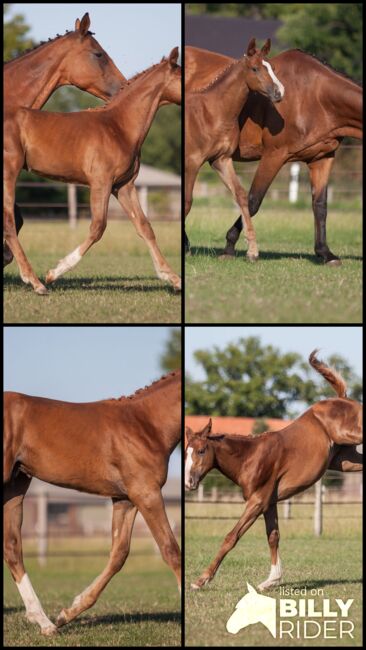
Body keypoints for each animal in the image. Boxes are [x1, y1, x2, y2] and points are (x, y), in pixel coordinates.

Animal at [4, 48, 182, 294]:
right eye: (183, 76)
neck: (118, 126)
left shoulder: (123, 186)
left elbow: (144, 227)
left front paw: (173, 278)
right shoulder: (101, 182)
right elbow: (98, 227)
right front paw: (54, 272)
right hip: (9, 172)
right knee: (10, 221)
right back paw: (36, 282)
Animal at [4, 370, 182, 632]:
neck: (146, 425)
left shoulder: (125, 499)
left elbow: (119, 554)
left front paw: (68, 613)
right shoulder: (147, 493)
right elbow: (170, 549)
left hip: (16, 485)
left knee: (12, 547)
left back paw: (45, 622)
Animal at [184, 352, 362, 588]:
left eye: (202, 450)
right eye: (186, 452)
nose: (189, 482)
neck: (250, 457)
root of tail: (342, 399)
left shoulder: (257, 502)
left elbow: (231, 537)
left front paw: (201, 580)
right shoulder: (269, 502)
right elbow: (273, 536)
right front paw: (272, 580)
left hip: (351, 436)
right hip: (345, 461)